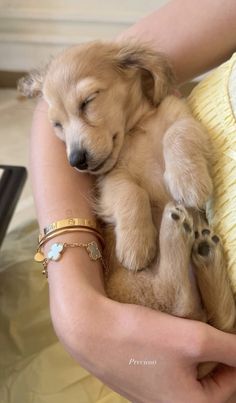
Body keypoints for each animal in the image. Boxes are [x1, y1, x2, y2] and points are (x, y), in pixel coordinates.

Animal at [18, 40, 236, 376]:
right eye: (57, 125)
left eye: (88, 101)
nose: (76, 160)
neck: (136, 129)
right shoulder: (110, 181)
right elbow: (131, 194)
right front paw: (136, 244)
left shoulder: (185, 121)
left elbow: (176, 135)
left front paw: (188, 180)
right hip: (138, 287)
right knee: (178, 295)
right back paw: (179, 231)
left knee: (204, 310)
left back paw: (199, 248)